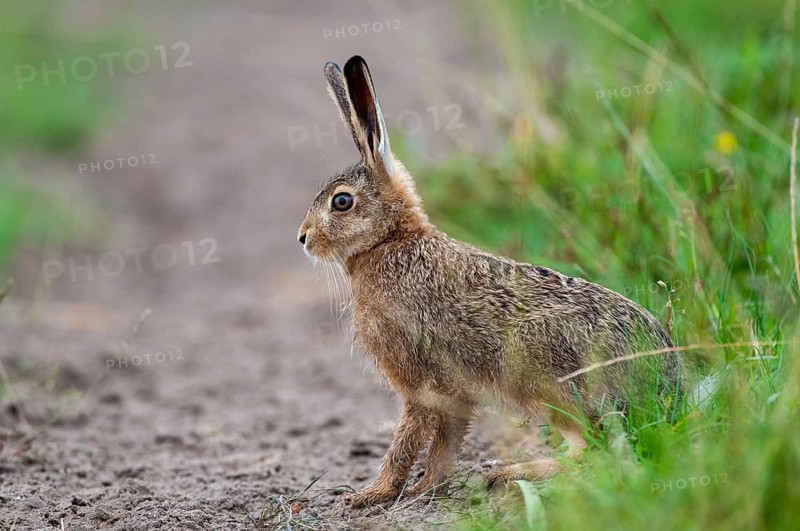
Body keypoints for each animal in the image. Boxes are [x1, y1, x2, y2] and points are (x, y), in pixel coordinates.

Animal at [297, 55, 682, 508]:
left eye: (341, 201)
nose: (303, 237)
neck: (390, 241)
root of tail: (666, 386)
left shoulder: (418, 382)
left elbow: (407, 439)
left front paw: (369, 494)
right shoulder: (451, 393)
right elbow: (445, 442)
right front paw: (426, 489)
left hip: (538, 369)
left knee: (593, 448)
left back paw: (510, 474)